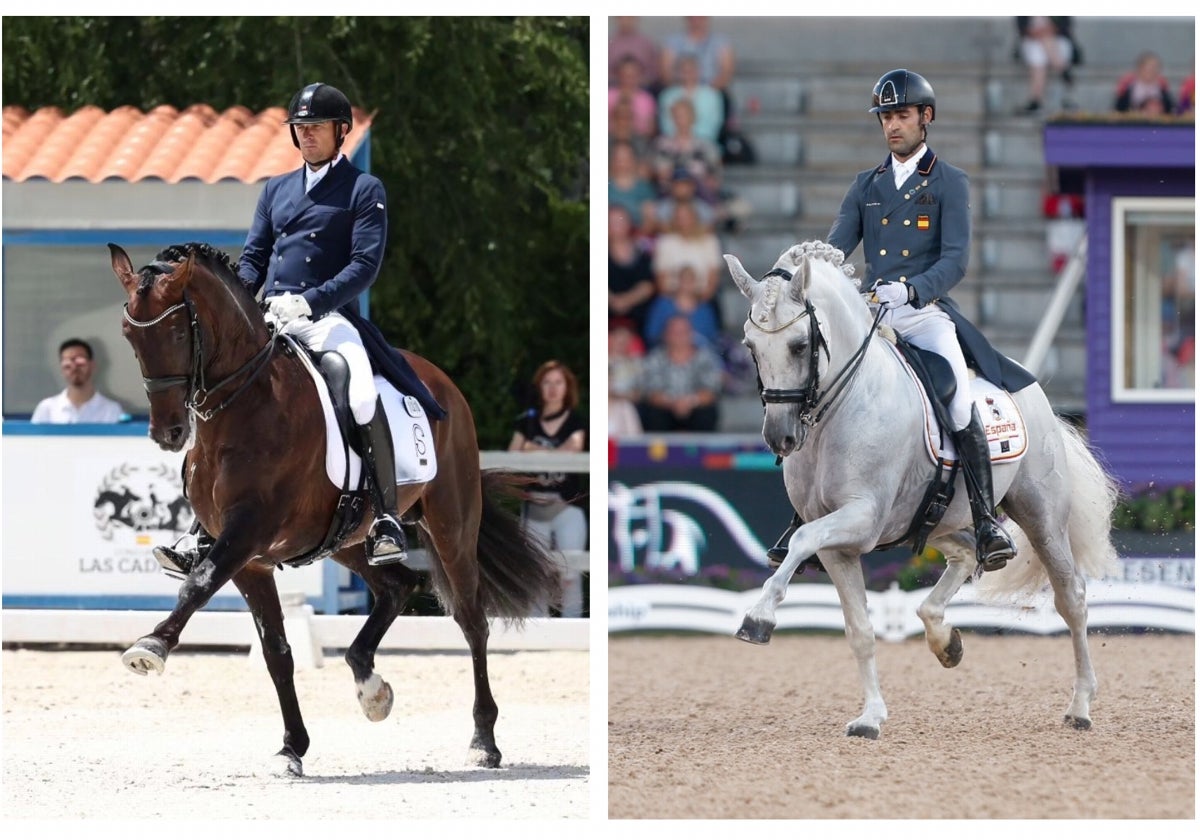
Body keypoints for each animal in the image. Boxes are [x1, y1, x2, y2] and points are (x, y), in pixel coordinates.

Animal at [110, 241, 559, 772]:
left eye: (179, 331)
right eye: (129, 336)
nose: (168, 433)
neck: (243, 408)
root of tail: (438, 380)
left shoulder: (247, 534)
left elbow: (198, 585)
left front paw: (151, 646)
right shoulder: (251, 560)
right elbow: (276, 651)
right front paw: (292, 747)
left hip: (451, 524)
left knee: (472, 621)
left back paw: (483, 741)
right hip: (346, 538)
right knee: (398, 585)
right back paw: (371, 686)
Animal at [720, 240, 1123, 739]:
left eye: (799, 345)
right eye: (750, 346)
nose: (781, 438)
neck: (842, 408)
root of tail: (1029, 387)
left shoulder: (862, 520)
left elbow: (800, 542)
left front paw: (758, 618)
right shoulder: (838, 545)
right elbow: (859, 629)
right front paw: (871, 717)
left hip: (1042, 516)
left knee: (1072, 599)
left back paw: (1081, 706)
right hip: (938, 520)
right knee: (966, 556)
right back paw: (945, 641)